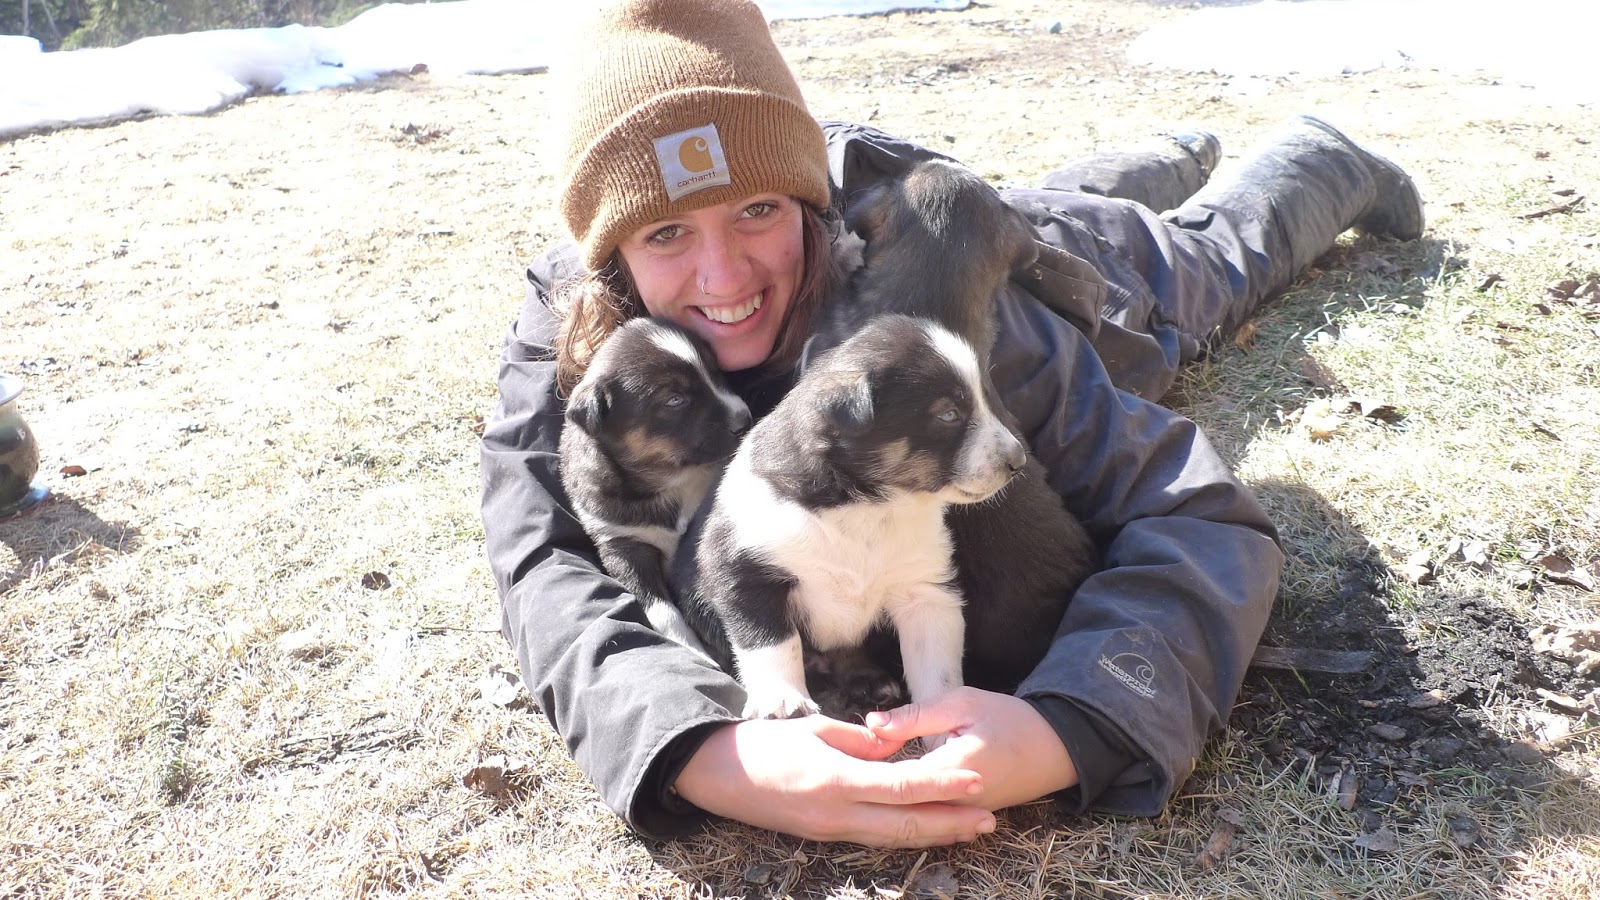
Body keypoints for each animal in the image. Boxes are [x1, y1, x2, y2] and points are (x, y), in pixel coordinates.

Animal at [560, 315, 752, 650]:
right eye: (674, 400)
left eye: (716, 372)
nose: (746, 420)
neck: (673, 477)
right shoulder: (622, 545)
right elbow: (662, 612)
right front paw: (691, 649)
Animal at [691, 312, 1017, 717]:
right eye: (948, 414)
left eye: (986, 400)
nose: (1018, 461)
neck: (871, 506)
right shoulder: (743, 568)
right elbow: (772, 641)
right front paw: (782, 699)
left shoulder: (925, 588)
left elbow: (936, 666)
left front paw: (946, 714)